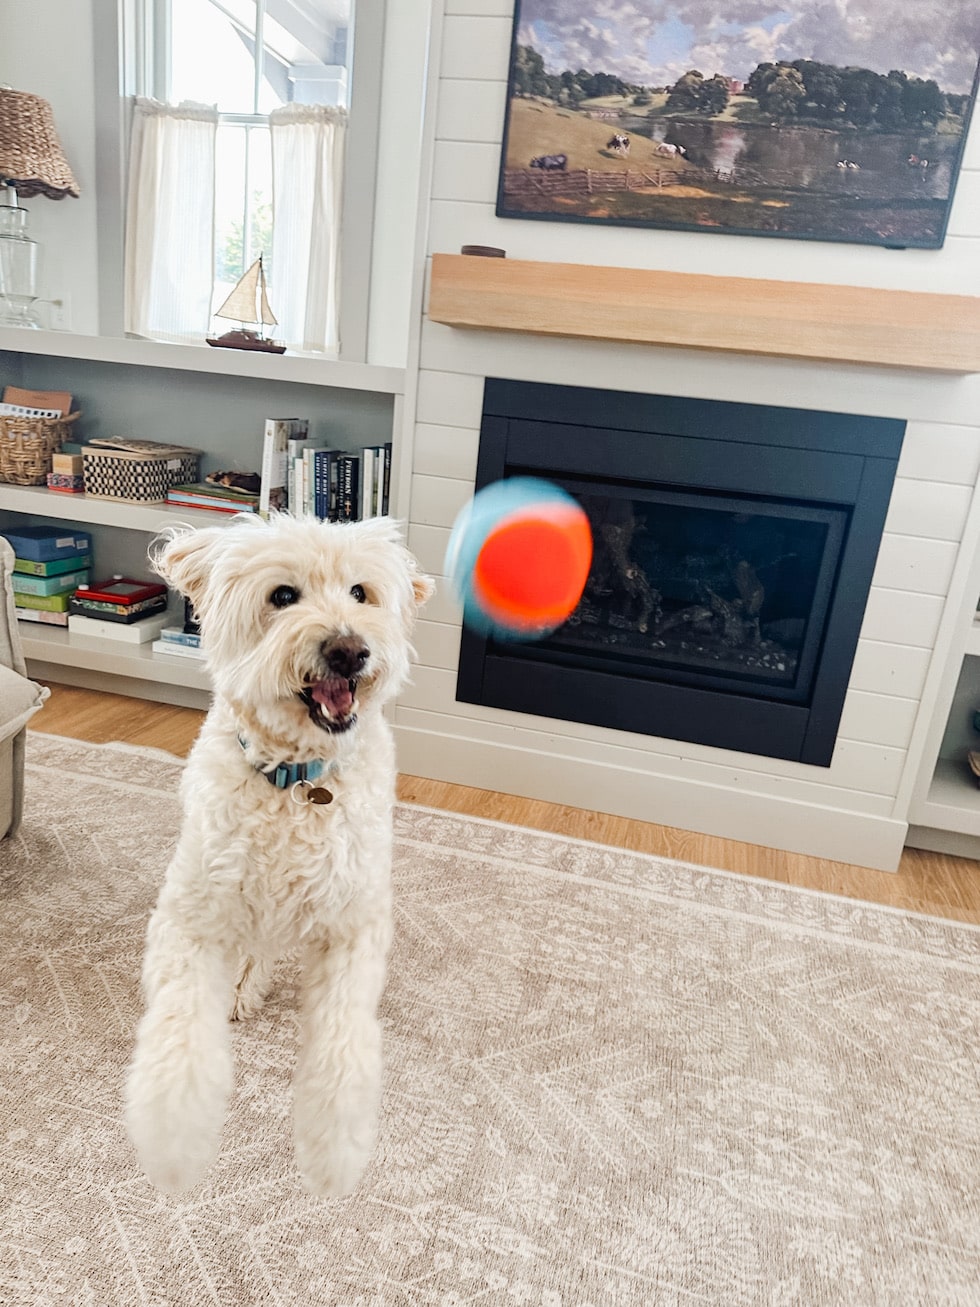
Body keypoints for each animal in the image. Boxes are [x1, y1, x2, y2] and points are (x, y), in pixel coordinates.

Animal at [124, 509, 431, 1197]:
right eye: (283, 596)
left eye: (361, 593)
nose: (349, 650)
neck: (295, 782)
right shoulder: (190, 914)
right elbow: (179, 1034)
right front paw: (173, 1144)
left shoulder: (353, 924)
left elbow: (343, 1042)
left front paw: (333, 1153)